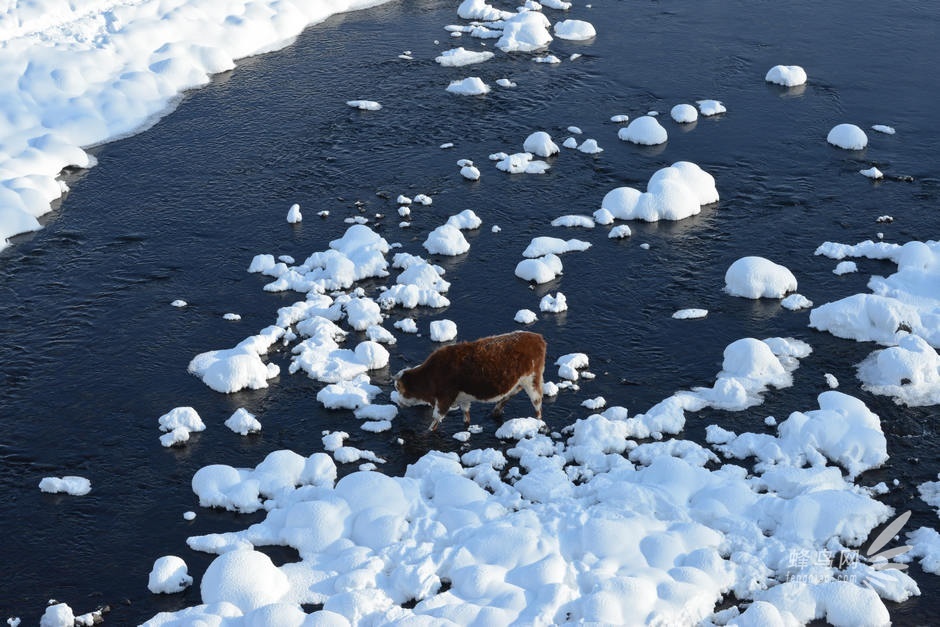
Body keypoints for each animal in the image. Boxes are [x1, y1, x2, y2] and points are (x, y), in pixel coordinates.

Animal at [392, 334, 548, 432]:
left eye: (398, 388)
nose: (398, 402)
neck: (431, 375)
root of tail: (537, 337)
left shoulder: (444, 399)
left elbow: (436, 419)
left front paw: (428, 431)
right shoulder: (463, 399)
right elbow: (466, 416)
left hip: (532, 381)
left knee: (537, 404)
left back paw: (538, 421)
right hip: (519, 382)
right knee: (509, 395)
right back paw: (495, 412)